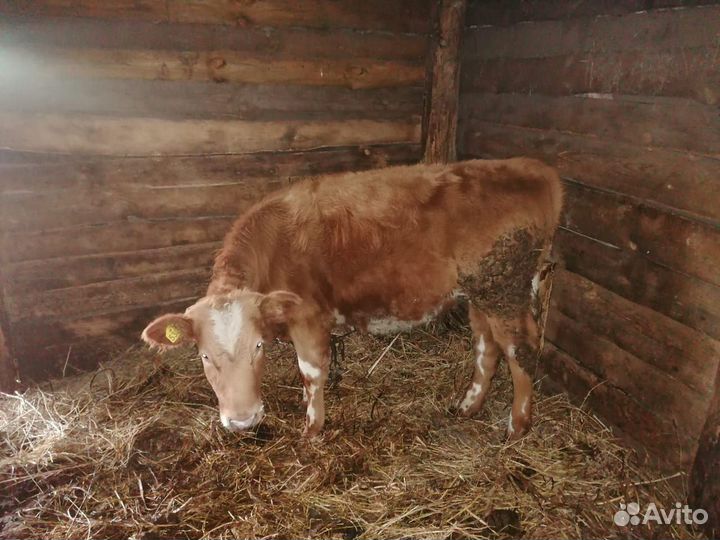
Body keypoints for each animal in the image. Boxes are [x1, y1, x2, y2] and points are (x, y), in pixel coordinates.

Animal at [141, 158, 563, 439]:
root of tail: (535, 169)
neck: (274, 245)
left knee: (520, 350)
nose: (243, 420)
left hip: (505, 288)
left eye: (258, 347)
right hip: (483, 289)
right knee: (485, 344)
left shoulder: (309, 317)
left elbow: (311, 372)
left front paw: (311, 430)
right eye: (204, 357)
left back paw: (517, 426)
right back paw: (468, 406)